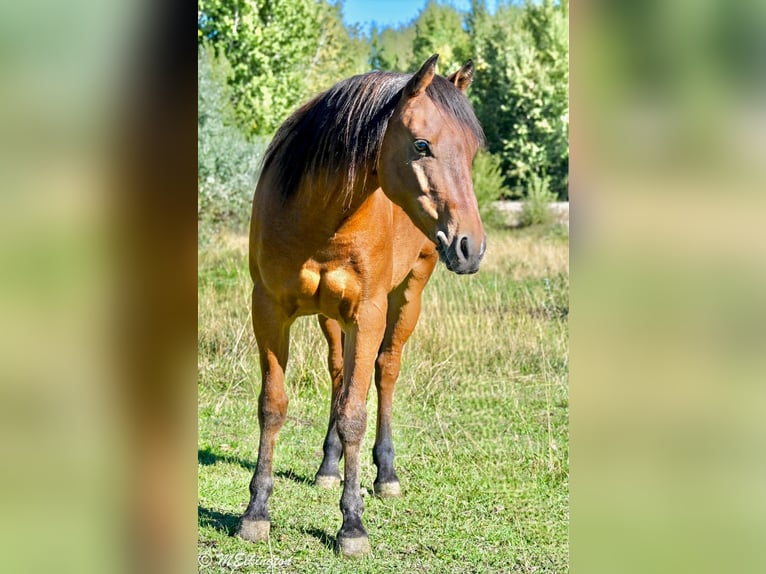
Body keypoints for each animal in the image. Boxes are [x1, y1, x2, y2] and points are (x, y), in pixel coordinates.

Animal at [238, 54, 486, 557]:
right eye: (422, 145)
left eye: (472, 153)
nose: (472, 246)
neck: (319, 217)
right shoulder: (269, 311)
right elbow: (273, 405)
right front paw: (256, 513)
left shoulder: (367, 314)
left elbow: (355, 414)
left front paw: (352, 524)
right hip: (331, 318)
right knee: (339, 373)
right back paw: (328, 467)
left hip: (407, 294)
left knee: (385, 371)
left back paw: (385, 474)